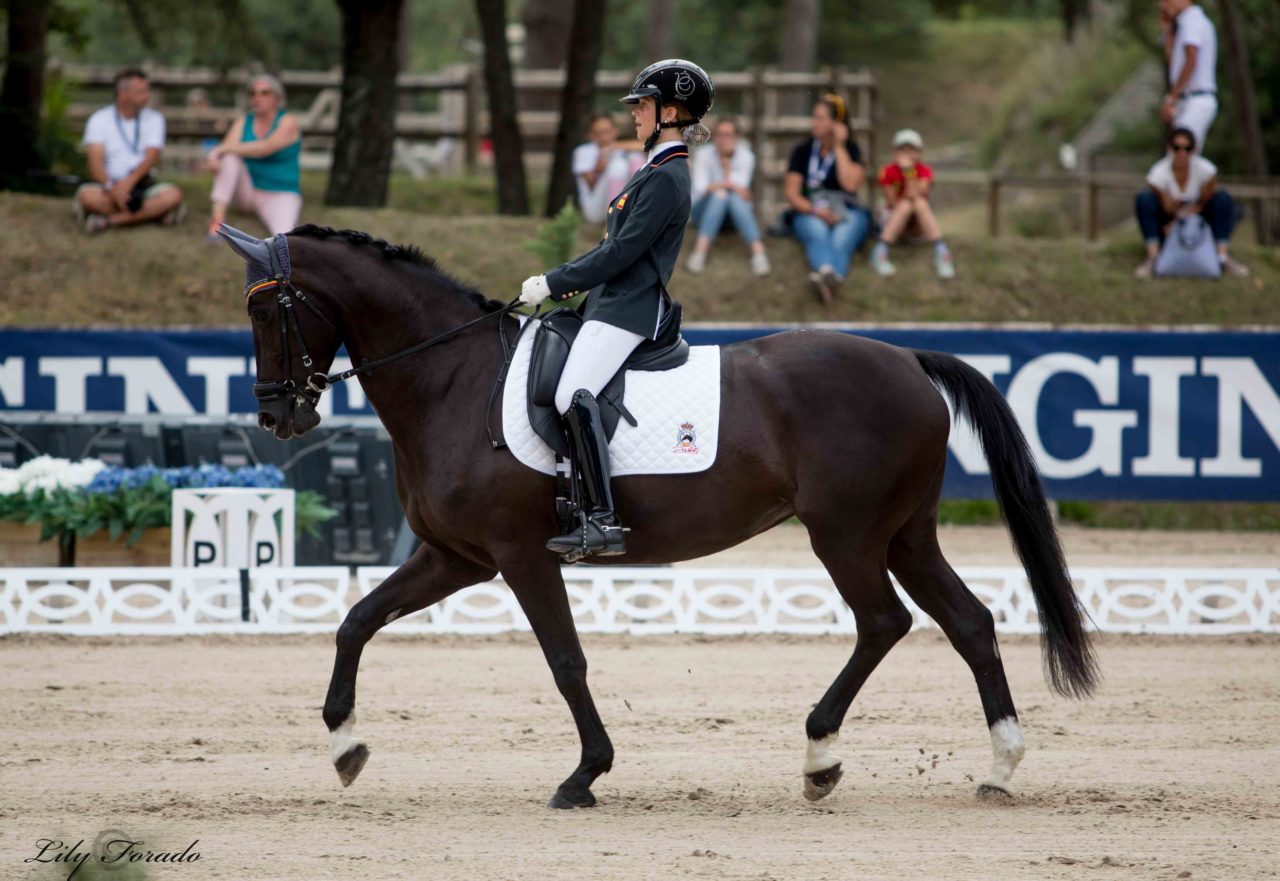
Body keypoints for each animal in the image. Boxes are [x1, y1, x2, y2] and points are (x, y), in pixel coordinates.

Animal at [222, 224, 1100, 809]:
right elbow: (356, 620)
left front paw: (584, 775)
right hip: (905, 532)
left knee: (885, 621)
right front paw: (345, 745)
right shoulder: (453, 555)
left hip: (847, 533)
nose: (278, 417)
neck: (451, 379)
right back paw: (998, 766)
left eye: (268, 313)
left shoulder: (518, 552)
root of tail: (909, 358)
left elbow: (565, 660)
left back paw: (820, 757)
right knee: (969, 620)